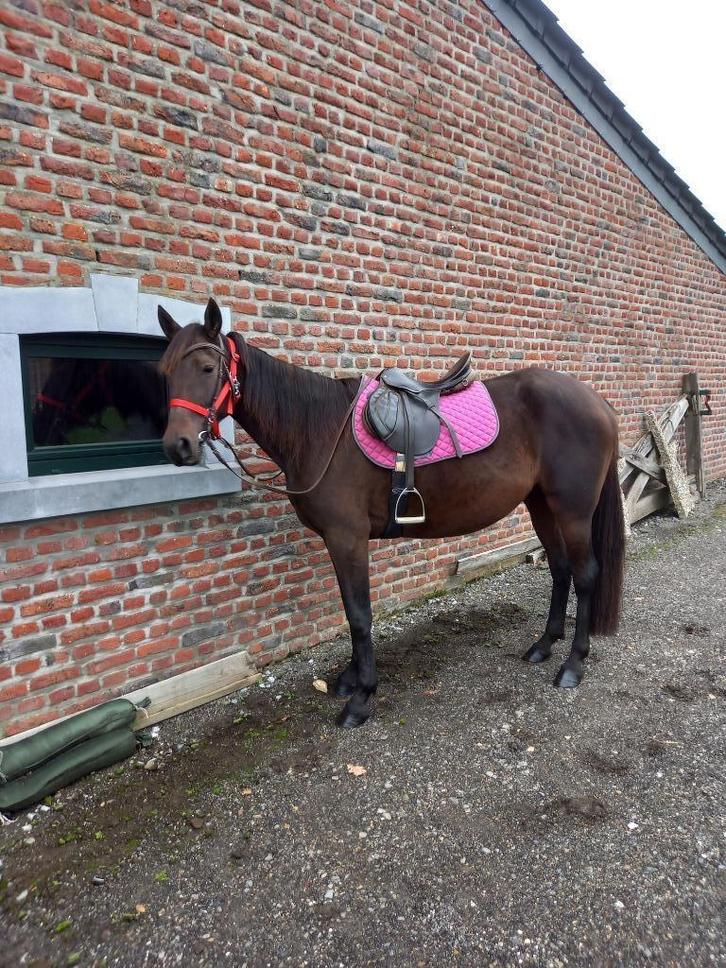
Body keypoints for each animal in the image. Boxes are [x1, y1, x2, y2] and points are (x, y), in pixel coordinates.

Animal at [158, 298, 625, 728]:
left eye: (206, 368)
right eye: (164, 372)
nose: (178, 447)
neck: (320, 430)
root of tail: (598, 401)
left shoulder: (347, 537)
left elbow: (359, 615)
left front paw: (361, 696)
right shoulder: (338, 541)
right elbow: (351, 611)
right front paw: (350, 678)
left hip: (573, 512)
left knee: (585, 575)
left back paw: (572, 664)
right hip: (541, 504)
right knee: (560, 569)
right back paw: (544, 645)